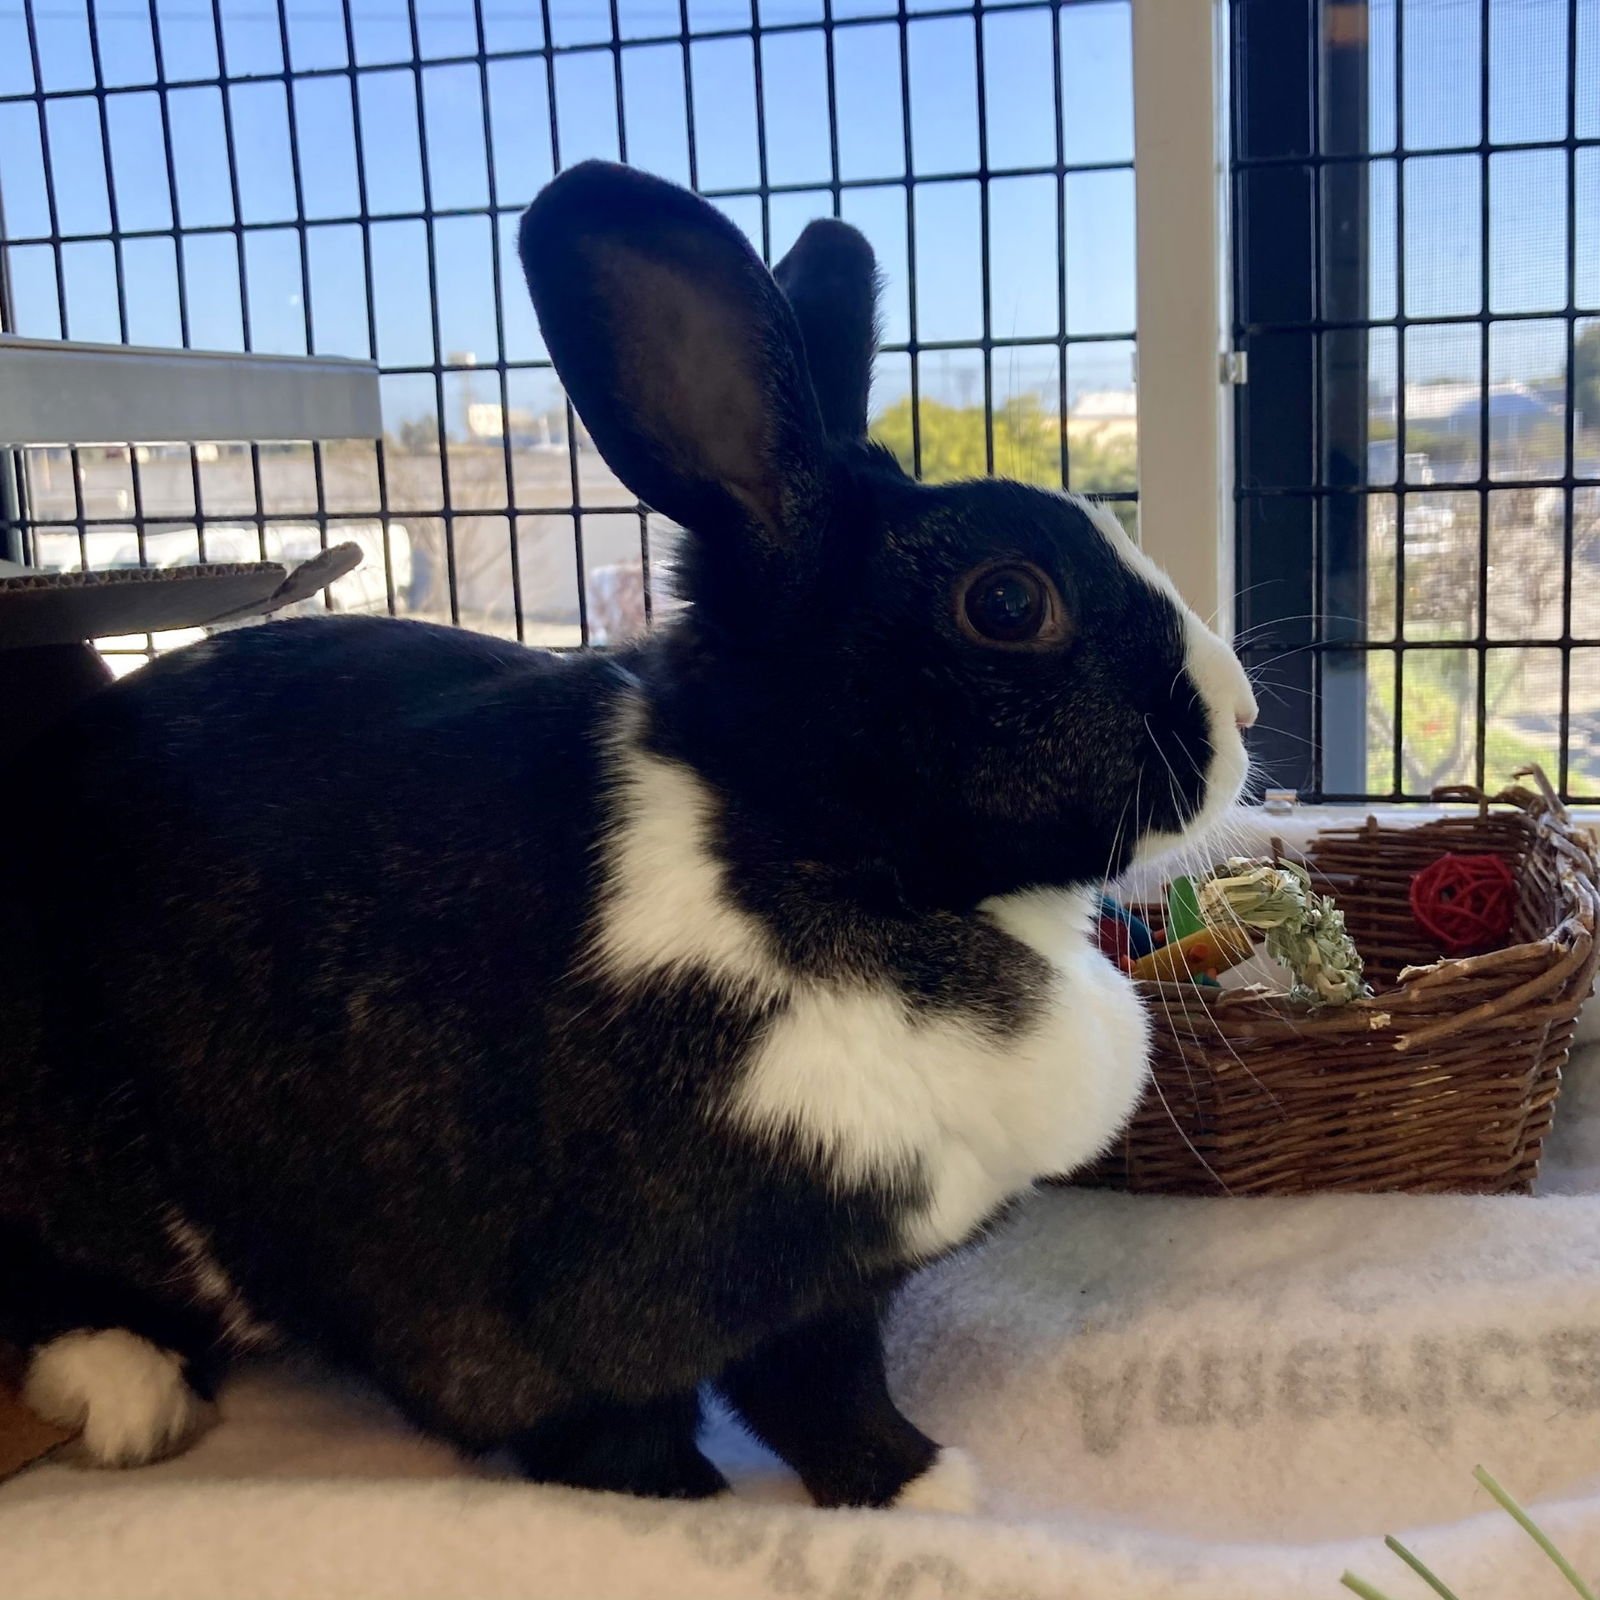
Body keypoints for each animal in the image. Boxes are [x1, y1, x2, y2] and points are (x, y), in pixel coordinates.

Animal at [0, 161, 1256, 1509]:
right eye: (1010, 601)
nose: (1241, 716)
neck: (793, 841)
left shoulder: (829, 1285)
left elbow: (825, 1391)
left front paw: (923, 1488)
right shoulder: (557, 1322)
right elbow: (619, 1436)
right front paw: (695, 1510)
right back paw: (129, 1394)